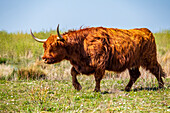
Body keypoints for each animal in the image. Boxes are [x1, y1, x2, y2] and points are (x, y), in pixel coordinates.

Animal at [30, 24, 166, 92]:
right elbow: (72, 72)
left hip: (149, 59)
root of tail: (146, 31)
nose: (44, 58)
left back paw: (161, 86)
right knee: (135, 75)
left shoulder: (99, 63)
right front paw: (77, 86)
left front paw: (96, 90)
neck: (81, 44)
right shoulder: (82, 65)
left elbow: (97, 77)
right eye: (44, 46)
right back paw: (127, 88)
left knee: (157, 71)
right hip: (133, 63)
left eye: (54, 45)